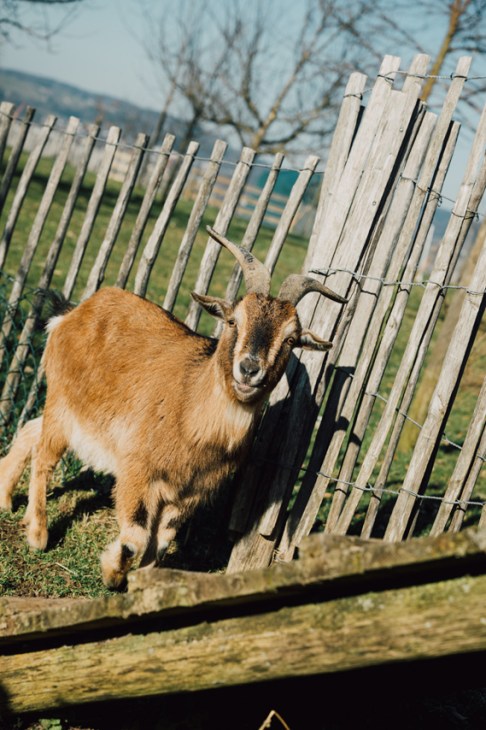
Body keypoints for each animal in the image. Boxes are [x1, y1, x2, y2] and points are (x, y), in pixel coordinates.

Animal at [0, 227, 346, 588]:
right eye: (233, 321)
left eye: (291, 339)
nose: (250, 369)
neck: (191, 412)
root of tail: (72, 313)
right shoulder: (138, 469)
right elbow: (135, 536)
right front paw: (112, 573)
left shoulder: (190, 494)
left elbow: (162, 540)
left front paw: (144, 582)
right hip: (62, 400)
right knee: (44, 456)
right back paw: (38, 534)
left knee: (31, 430)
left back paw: (6, 499)